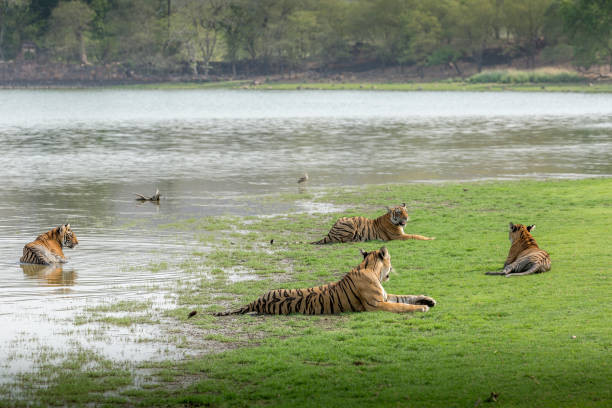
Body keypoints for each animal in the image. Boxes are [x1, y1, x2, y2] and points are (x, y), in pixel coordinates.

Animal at [215, 245, 436, 316]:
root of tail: (257, 301)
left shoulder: (386, 296)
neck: (370, 268)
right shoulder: (376, 304)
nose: (393, 267)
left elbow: (406, 297)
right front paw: (422, 308)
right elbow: (403, 306)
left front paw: (429, 299)